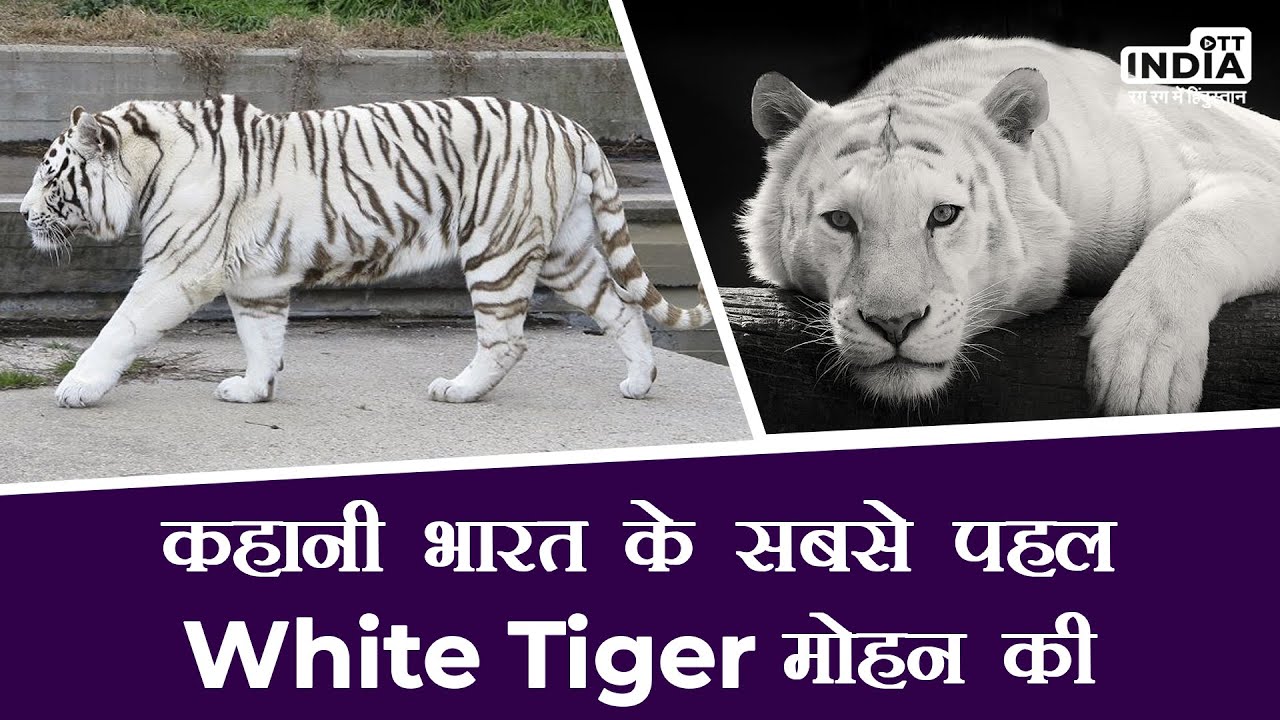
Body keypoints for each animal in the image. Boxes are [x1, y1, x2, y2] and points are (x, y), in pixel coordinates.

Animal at [20, 95, 710, 408]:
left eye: (50, 176)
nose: (23, 214)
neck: (149, 167)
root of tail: (573, 126)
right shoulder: (256, 279)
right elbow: (260, 337)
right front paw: (254, 390)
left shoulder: (177, 271)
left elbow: (121, 328)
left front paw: (77, 387)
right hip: (567, 252)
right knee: (621, 308)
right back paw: (639, 382)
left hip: (498, 249)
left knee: (507, 339)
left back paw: (459, 391)